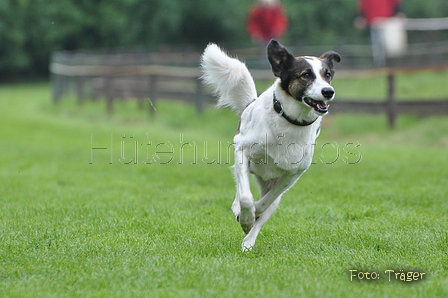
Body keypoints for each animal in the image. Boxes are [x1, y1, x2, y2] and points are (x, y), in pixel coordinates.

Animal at [200, 38, 340, 250]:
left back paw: (248, 242)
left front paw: (251, 216)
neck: (290, 120)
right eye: (306, 75)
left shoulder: (293, 173)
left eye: (327, 75)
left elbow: (266, 203)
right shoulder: (242, 150)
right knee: (240, 191)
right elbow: (246, 197)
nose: (328, 92)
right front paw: (245, 216)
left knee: (266, 208)